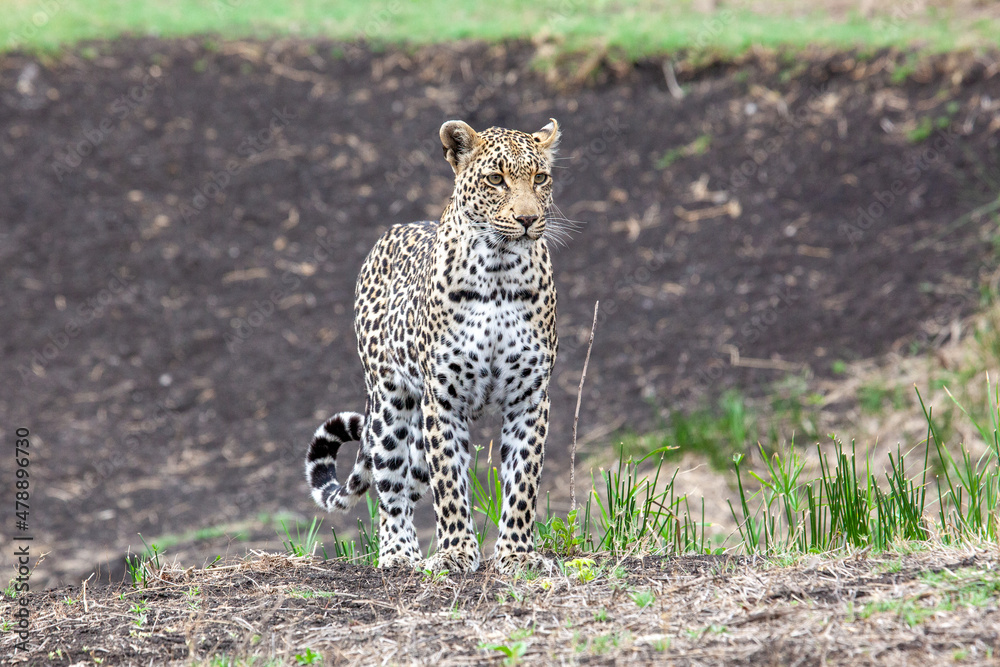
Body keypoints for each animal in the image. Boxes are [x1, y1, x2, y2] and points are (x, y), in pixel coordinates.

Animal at [304, 118, 564, 574]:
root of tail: (393, 230)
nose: (528, 218)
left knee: (411, 484)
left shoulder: (530, 397)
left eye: (540, 178)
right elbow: (450, 486)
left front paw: (517, 555)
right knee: (391, 491)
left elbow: (523, 482)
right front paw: (455, 553)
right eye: (496, 179)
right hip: (391, 406)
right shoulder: (441, 399)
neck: (500, 275)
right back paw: (398, 554)